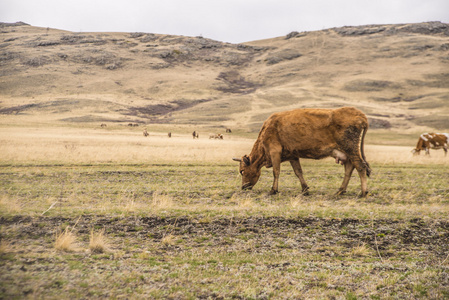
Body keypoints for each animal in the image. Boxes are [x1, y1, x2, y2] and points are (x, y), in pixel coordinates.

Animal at [233, 107, 370, 197]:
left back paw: (363, 192)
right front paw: (305, 189)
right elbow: (298, 172)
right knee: (349, 168)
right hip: (347, 153)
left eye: (242, 171)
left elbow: (276, 171)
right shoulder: (292, 155)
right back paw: (340, 190)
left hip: (351, 148)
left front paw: (273, 190)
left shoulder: (274, 151)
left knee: (360, 167)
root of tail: (360, 115)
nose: (243, 187)